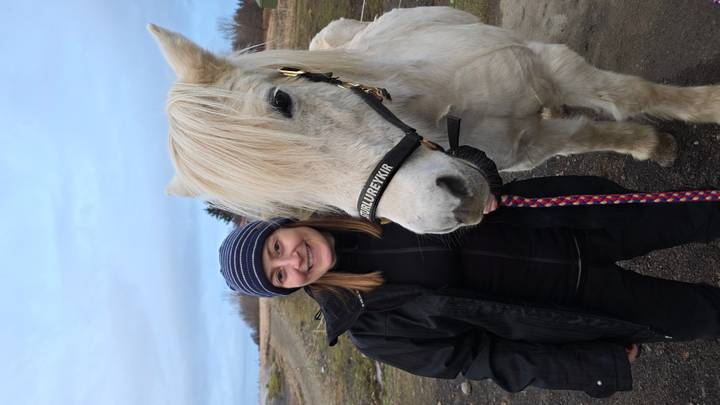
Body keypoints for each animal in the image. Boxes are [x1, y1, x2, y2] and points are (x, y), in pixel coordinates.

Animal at [149, 6, 720, 234]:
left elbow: (632, 93)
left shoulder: (551, 67)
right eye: (297, 205)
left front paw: (709, 107)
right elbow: (594, 132)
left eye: (282, 101)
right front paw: (651, 145)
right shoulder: (531, 143)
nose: (451, 207)